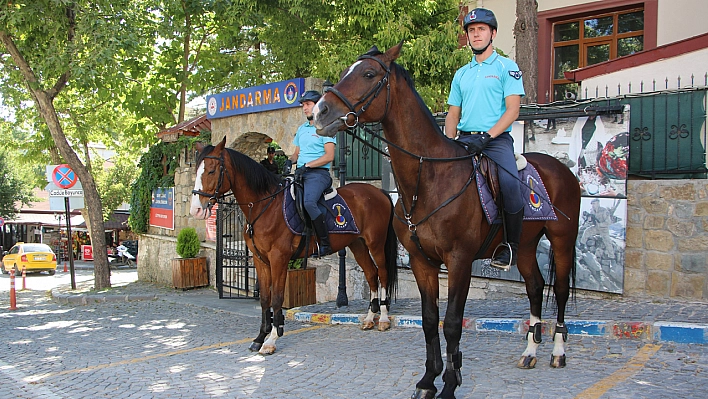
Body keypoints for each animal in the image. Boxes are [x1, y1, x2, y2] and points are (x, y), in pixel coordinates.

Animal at [188, 138, 398, 356]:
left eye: (212, 170)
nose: (195, 209)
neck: (265, 207)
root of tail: (379, 192)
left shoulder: (278, 259)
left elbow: (277, 298)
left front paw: (272, 339)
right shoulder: (259, 260)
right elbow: (265, 299)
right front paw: (259, 338)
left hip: (376, 243)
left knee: (382, 273)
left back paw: (383, 318)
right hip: (358, 244)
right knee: (371, 274)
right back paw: (369, 318)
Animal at [314, 43, 580, 399]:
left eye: (368, 74)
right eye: (345, 72)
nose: (320, 112)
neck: (428, 180)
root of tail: (561, 168)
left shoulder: (459, 260)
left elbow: (452, 322)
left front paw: (451, 383)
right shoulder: (421, 262)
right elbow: (430, 320)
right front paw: (429, 379)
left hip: (563, 240)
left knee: (560, 290)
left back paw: (558, 352)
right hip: (523, 246)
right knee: (536, 288)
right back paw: (530, 352)